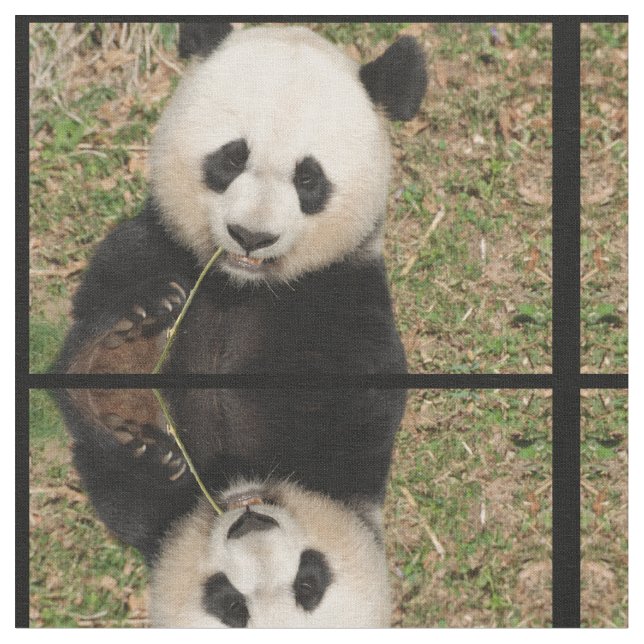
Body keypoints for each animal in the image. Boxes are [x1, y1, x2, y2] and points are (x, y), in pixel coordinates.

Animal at [55, 22, 427, 627]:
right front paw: (138, 329)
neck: (241, 287)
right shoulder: (153, 246)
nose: (251, 235)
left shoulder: (346, 304)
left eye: (309, 179)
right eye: (230, 159)